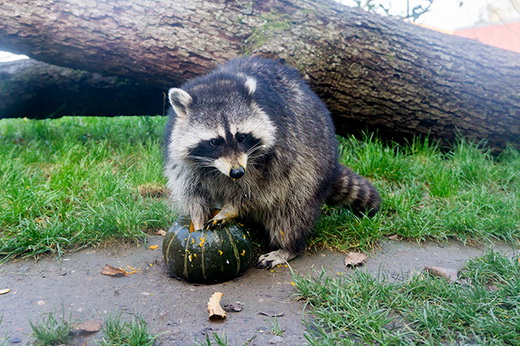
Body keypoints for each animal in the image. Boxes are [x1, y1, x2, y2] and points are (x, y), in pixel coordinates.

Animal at [165, 56, 380, 268]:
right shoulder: (185, 161)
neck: (218, 82)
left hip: (310, 172)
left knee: (292, 212)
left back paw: (288, 247)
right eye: (215, 141)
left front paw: (229, 210)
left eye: (241, 137)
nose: (237, 172)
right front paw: (197, 220)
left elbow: (256, 190)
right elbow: (192, 191)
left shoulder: (275, 154)